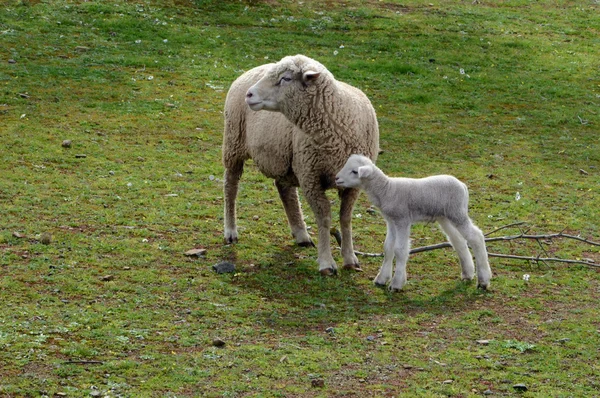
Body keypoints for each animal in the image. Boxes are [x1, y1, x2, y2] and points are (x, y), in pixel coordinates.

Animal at [223, 54, 378, 276]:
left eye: (286, 79)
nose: (249, 94)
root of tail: (251, 70)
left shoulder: (354, 184)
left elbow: (345, 218)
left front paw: (350, 258)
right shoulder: (310, 176)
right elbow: (324, 218)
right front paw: (326, 262)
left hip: (284, 156)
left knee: (284, 189)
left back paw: (300, 233)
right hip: (233, 143)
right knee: (231, 187)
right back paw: (230, 230)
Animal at [336, 155, 490, 292]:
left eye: (354, 171)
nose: (336, 178)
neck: (386, 189)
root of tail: (463, 185)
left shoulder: (402, 220)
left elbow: (400, 250)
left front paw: (396, 283)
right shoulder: (391, 221)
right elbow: (388, 248)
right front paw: (381, 279)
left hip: (457, 212)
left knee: (476, 237)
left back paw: (483, 280)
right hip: (445, 216)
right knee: (458, 241)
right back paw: (467, 274)